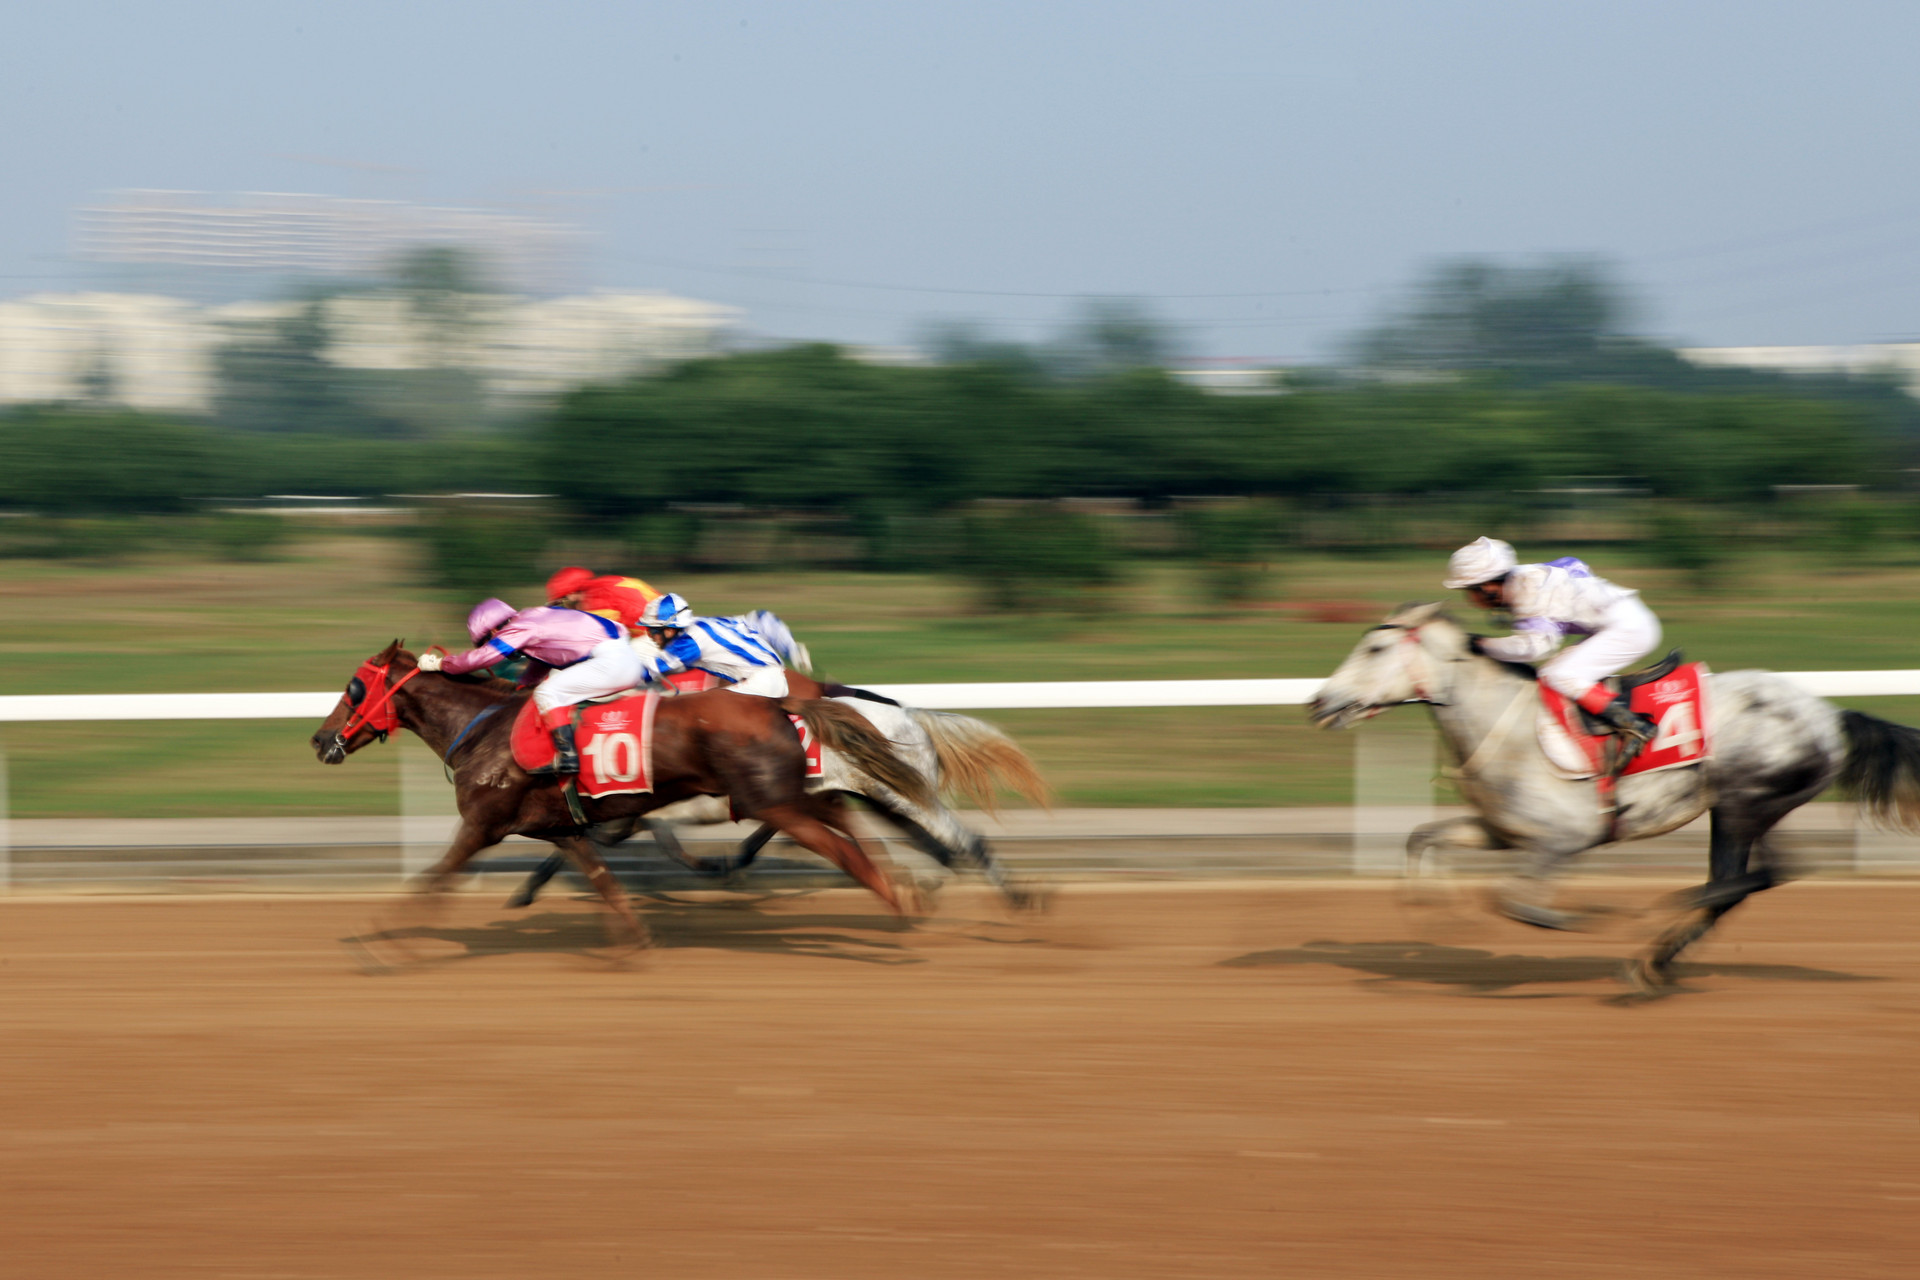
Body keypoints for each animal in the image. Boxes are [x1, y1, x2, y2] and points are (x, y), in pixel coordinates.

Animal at [312, 640, 936, 951]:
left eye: (353, 687)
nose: (320, 740)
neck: (484, 726)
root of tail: (780, 699)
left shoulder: (482, 825)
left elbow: (433, 880)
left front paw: (380, 939)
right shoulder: (561, 829)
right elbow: (604, 882)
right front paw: (633, 939)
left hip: (772, 800)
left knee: (843, 847)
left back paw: (900, 897)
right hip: (785, 791)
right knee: (843, 817)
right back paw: (908, 884)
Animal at [1313, 602, 1920, 990]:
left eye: (1375, 646)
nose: (1319, 700)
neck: (1504, 724)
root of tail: (1831, 716)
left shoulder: (1566, 838)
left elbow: (1514, 902)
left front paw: (1578, 920)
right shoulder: (1502, 832)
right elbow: (1422, 838)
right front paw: (1436, 915)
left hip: (1745, 801)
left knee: (1754, 876)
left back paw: (1664, 923)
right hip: (1744, 807)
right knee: (1744, 880)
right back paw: (1655, 959)